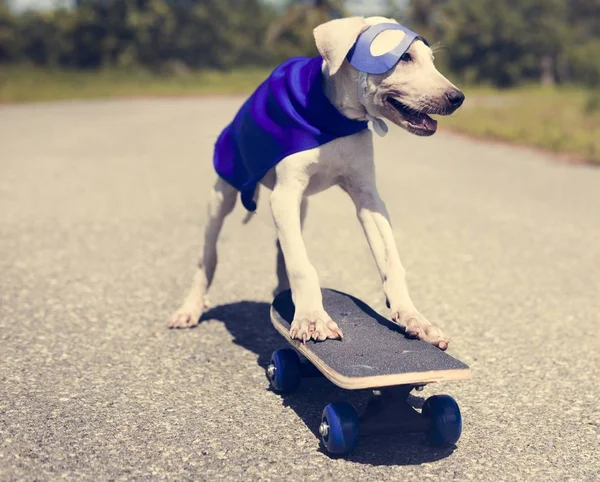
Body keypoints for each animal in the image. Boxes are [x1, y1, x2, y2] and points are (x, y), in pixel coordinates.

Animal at [168, 15, 464, 350]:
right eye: (404, 58)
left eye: (431, 60)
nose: (457, 98)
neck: (334, 119)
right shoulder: (284, 195)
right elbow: (301, 263)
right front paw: (312, 318)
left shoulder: (367, 196)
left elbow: (390, 260)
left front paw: (414, 318)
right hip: (223, 193)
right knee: (208, 256)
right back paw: (191, 308)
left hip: (302, 206)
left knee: (281, 247)